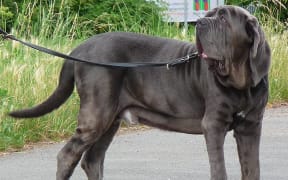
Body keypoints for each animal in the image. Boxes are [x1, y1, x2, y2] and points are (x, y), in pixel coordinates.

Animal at [9, 5, 270, 180]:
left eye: (224, 19)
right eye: (209, 16)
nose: (199, 23)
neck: (240, 82)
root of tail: (79, 49)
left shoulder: (251, 127)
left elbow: (253, 168)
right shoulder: (214, 124)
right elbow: (219, 169)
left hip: (110, 119)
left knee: (92, 159)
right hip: (97, 114)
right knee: (67, 155)